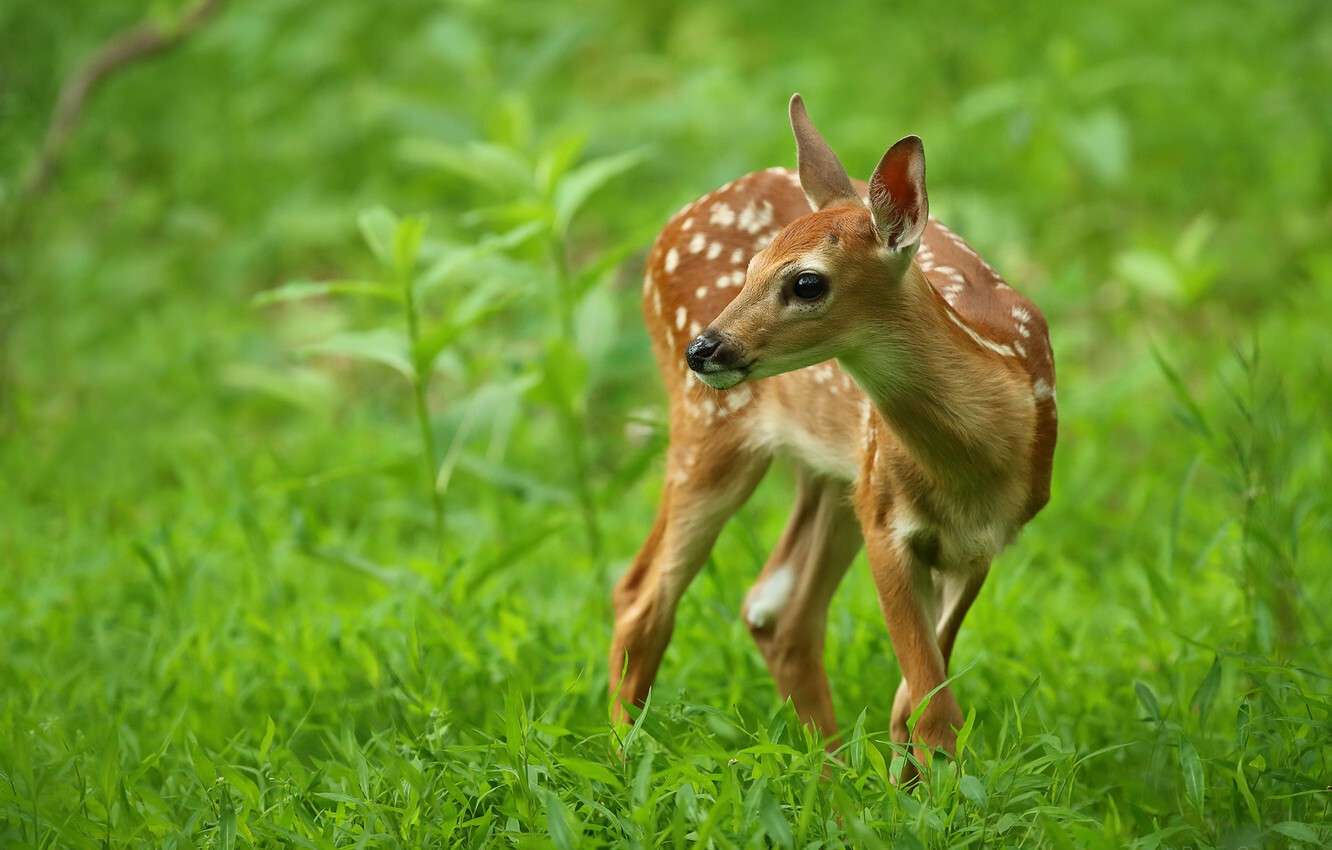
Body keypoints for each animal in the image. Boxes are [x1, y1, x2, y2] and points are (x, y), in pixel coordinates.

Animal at [610, 93, 1054, 772]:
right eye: (751, 267)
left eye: (806, 282)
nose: (704, 348)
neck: (975, 461)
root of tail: (665, 230)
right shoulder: (886, 519)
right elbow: (933, 713)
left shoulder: (982, 543)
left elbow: (917, 698)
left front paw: (907, 781)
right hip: (714, 433)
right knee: (641, 595)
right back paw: (622, 762)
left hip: (830, 471)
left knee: (777, 609)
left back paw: (831, 774)